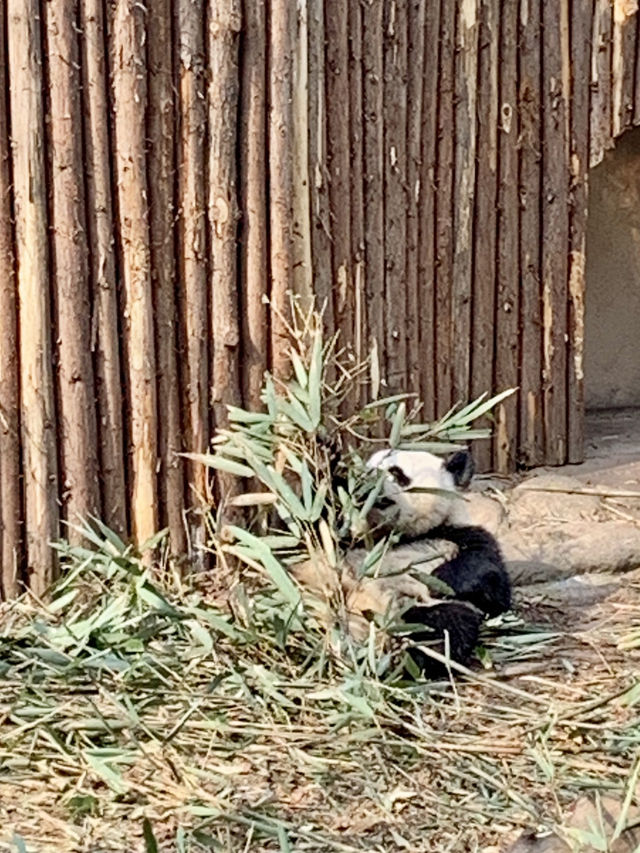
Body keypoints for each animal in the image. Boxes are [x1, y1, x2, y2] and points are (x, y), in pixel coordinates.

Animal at [290, 446, 510, 680]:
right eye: (364, 470)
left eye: (396, 472)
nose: (366, 485)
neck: (394, 536)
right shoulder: (342, 543)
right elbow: (310, 530)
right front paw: (329, 465)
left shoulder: (458, 533)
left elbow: (491, 585)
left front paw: (440, 579)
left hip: (409, 613)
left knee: (447, 625)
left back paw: (400, 658)